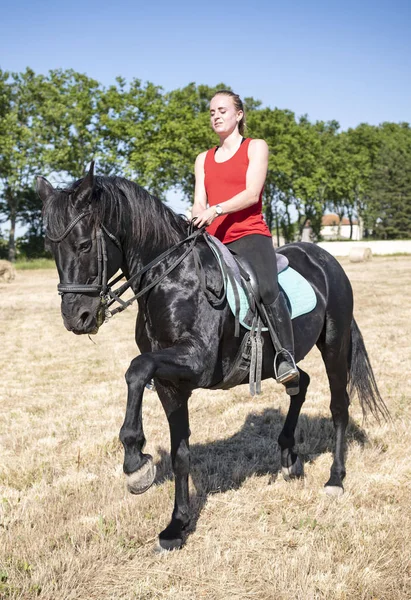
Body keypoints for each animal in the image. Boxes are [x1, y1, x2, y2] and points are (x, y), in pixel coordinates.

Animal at [37, 166, 388, 552]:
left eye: (84, 245)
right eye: (51, 248)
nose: (76, 318)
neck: (171, 279)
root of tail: (326, 260)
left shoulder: (196, 363)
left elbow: (135, 369)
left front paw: (135, 464)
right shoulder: (170, 382)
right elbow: (180, 454)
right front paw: (176, 526)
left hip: (335, 346)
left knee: (339, 406)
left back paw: (335, 479)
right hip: (285, 360)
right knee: (299, 382)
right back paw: (288, 457)